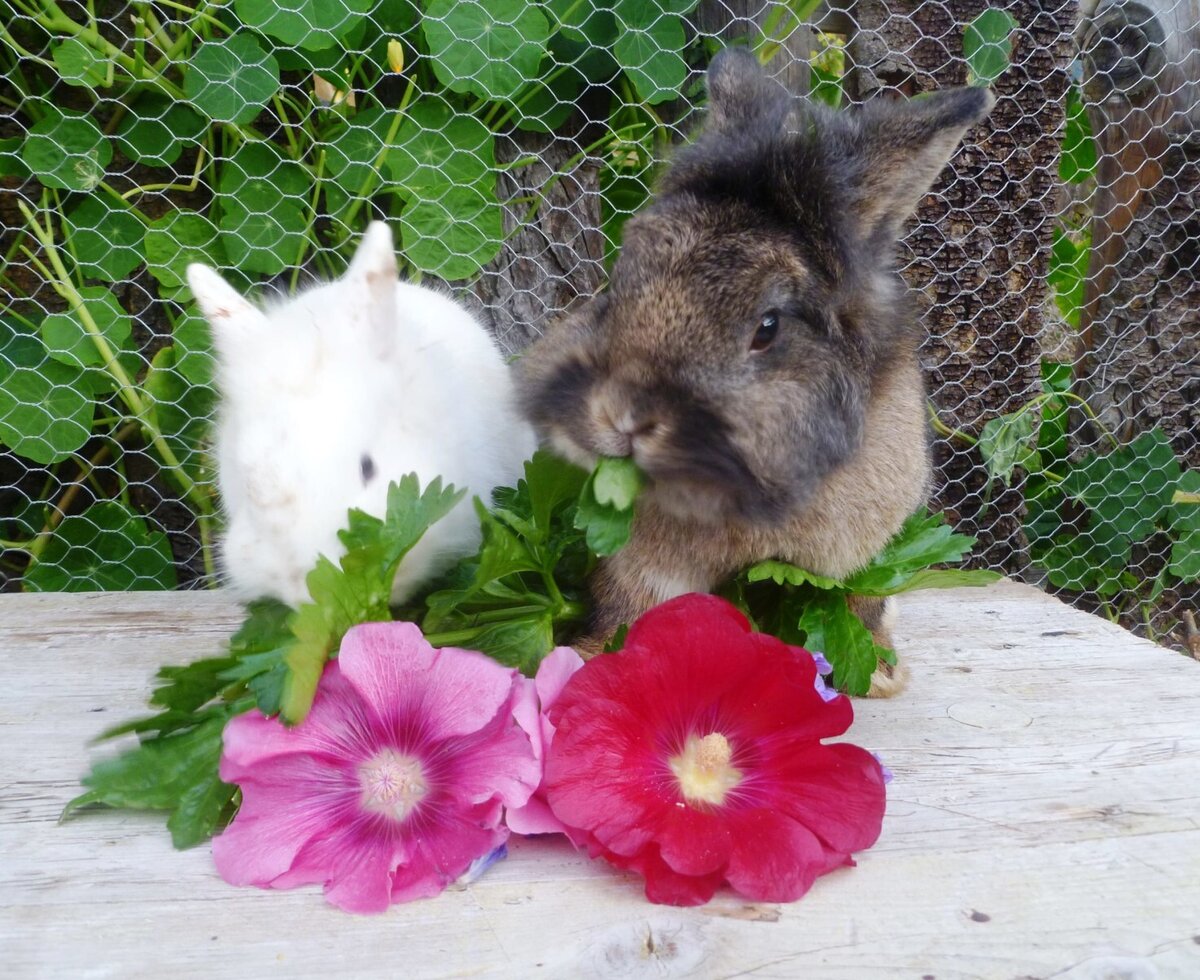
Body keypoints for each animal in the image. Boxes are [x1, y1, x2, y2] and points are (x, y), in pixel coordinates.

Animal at [516, 48, 995, 696]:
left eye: (767, 327)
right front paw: (593, 658)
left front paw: (879, 676)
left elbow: (860, 605)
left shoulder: (864, 551)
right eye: (620, 282)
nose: (620, 415)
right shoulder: (643, 565)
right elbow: (632, 607)